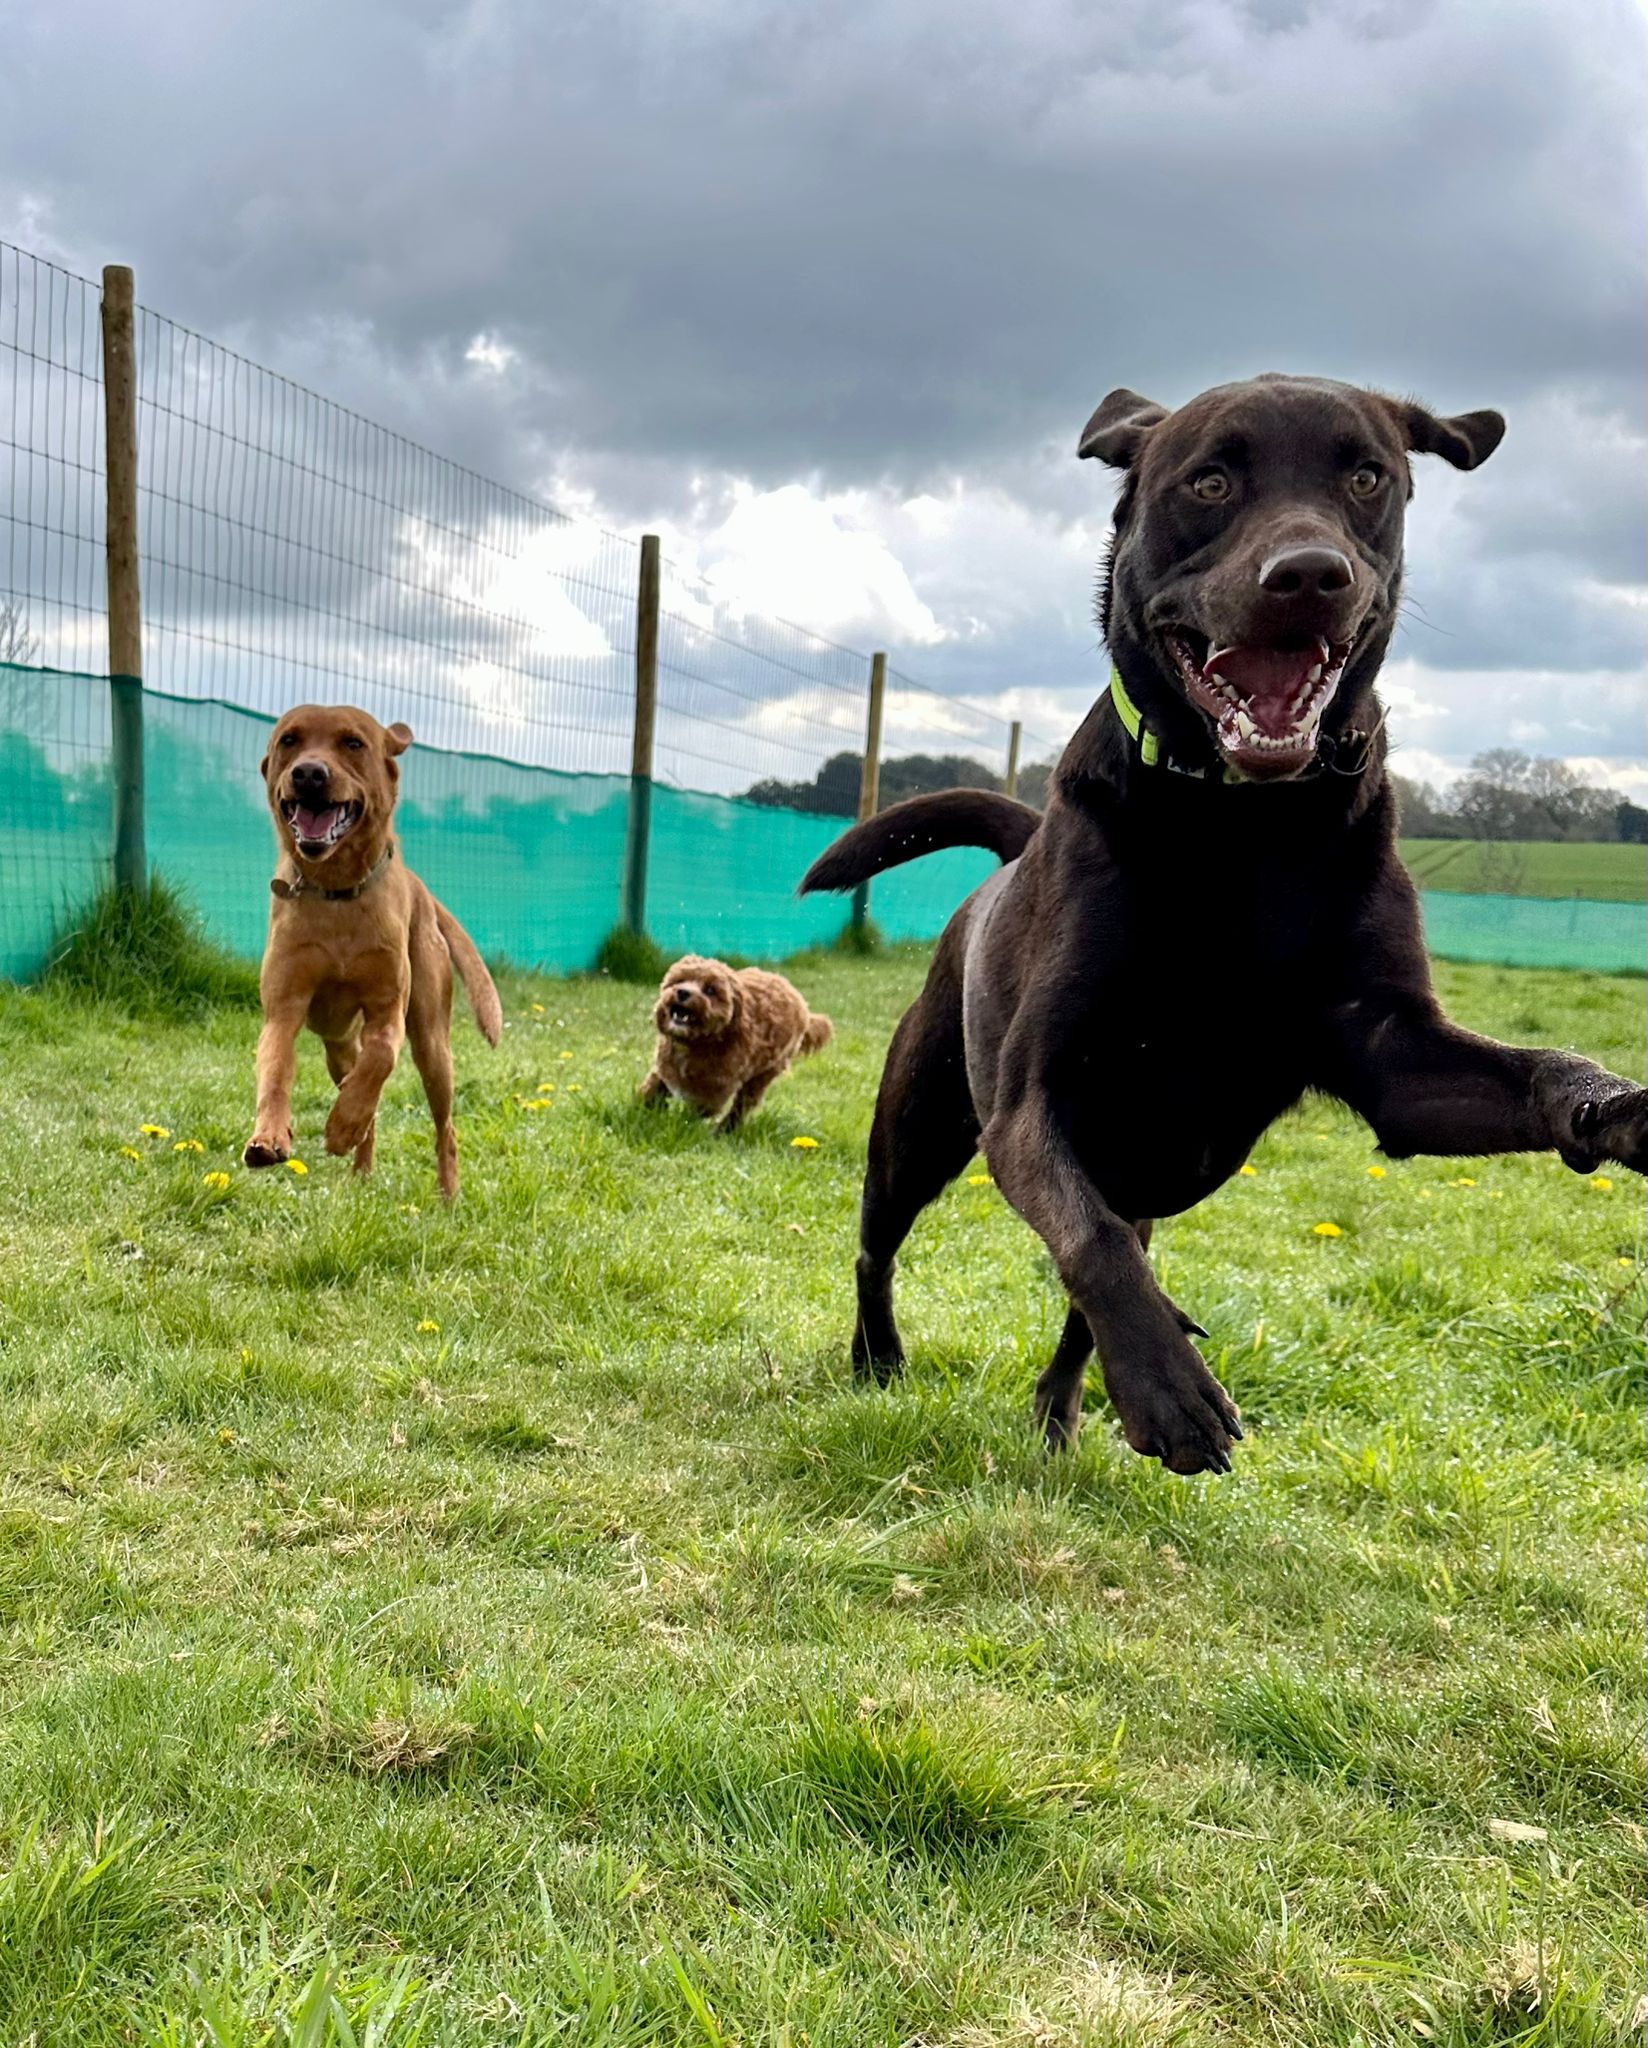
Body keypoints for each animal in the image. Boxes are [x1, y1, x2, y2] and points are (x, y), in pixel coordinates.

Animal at [634, 958, 831, 1138]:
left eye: (710, 990)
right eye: (679, 980)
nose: (682, 992)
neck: (695, 1043)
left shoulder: (715, 1090)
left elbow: (699, 1108)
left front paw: (682, 1123)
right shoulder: (665, 1067)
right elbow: (652, 1087)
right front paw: (645, 1109)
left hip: (763, 1075)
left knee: (741, 1107)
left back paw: (724, 1131)